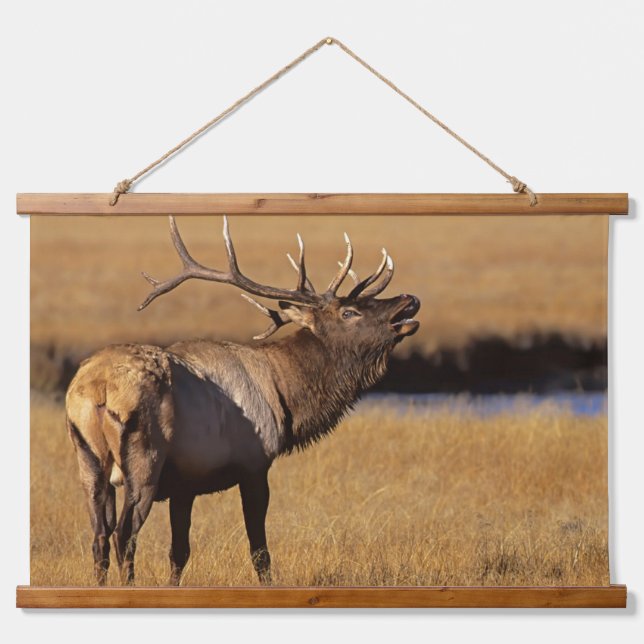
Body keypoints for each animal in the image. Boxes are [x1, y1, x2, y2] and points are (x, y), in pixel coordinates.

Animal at [65, 215, 420, 586]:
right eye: (349, 312)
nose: (408, 299)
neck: (285, 396)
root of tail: (98, 388)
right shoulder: (254, 464)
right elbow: (260, 551)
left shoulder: (184, 484)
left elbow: (179, 553)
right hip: (144, 459)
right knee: (124, 536)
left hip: (88, 460)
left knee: (99, 538)